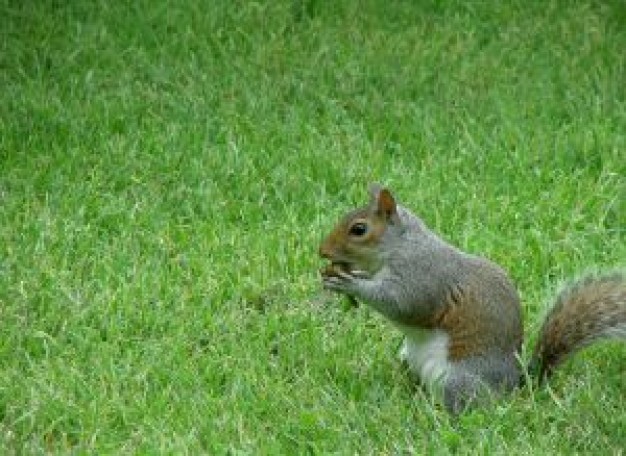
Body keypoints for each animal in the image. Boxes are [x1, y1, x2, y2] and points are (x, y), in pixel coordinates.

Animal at [320, 183, 624, 414]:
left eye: (359, 229)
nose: (322, 251)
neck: (401, 246)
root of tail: (516, 386)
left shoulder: (422, 276)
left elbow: (403, 304)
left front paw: (351, 284)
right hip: (411, 359)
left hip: (459, 379)